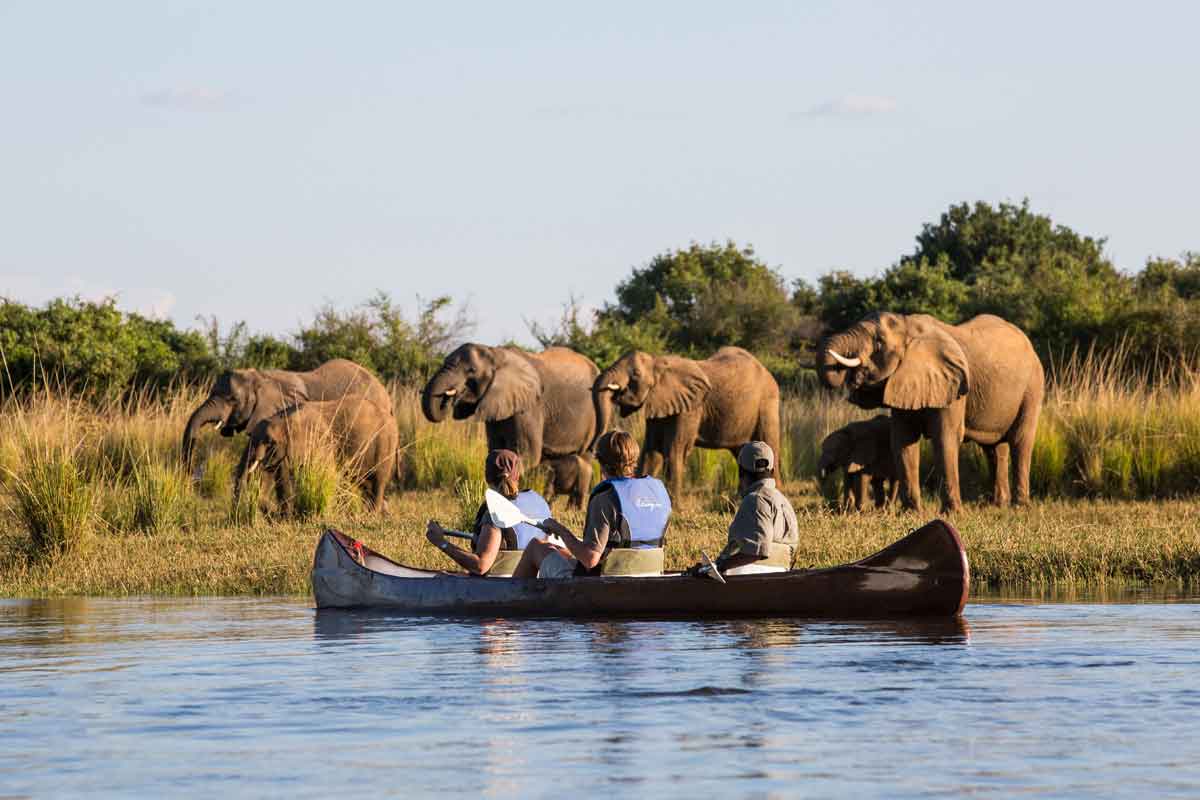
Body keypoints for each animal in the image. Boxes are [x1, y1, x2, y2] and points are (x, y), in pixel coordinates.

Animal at [234, 398, 398, 515]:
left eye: (270, 442)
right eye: (250, 437)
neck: (283, 419)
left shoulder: (320, 443)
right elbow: (277, 478)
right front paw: (280, 514)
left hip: (386, 444)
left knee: (378, 481)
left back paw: (372, 515)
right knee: (366, 484)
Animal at [422, 345, 609, 506]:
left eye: (471, 371)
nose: (449, 397)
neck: (496, 354)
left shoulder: (529, 407)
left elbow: (527, 455)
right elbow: (495, 451)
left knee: (584, 461)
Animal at [592, 347, 782, 496]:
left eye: (636, 374)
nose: (594, 452)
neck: (658, 363)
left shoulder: (690, 409)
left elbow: (674, 450)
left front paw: (674, 509)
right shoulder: (659, 405)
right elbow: (650, 451)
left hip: (767, 404)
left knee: (769, 445)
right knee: (742, 452)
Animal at [816, 311, 1041, 513]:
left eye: (879, 342)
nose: (852, 375)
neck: (908, 326)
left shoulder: (952, 387)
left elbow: (944, 438)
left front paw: (952, 514)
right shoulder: (904, 381)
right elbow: (903, 442)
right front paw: (911, 513)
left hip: (1032, 387)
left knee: (1020, 441)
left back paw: (1020, 507)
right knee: (994, 449)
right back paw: (997, 505)